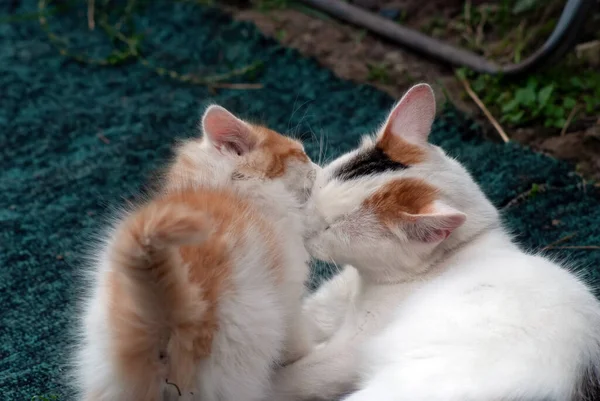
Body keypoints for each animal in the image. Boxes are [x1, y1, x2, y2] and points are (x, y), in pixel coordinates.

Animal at [74, 105, 316, 400]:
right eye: (301, 153)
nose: (317, 168)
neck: (227, 190)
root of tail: (166, 311)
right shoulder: (289, 292)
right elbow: (297, 337)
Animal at [272, 83, 600, 398]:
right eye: (316, 190)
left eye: (332, 227)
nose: (299, 226)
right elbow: (309, 315)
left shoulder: (350, 351)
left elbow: (296, 377)